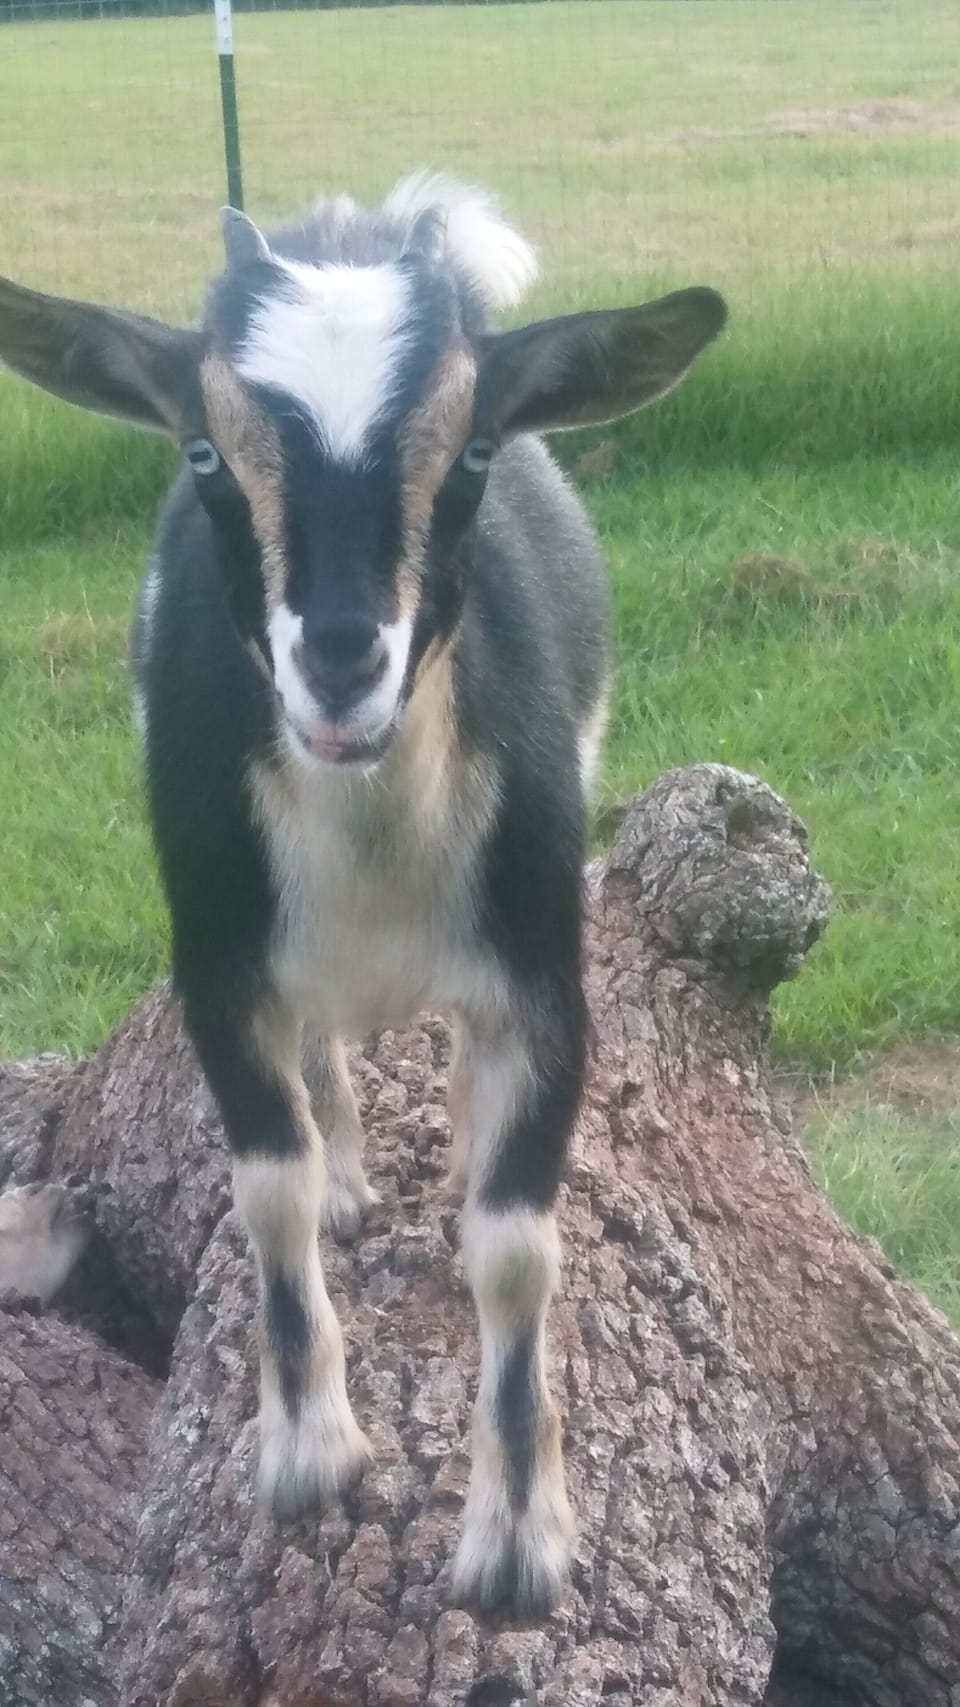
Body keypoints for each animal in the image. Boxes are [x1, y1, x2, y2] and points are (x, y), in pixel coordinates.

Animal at [0, 176, 725, 1616]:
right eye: (206, 453)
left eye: (476, 451)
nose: (342, 667)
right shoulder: (217, 963)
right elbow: (267, 1190)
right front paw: (305, 1452)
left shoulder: (542, 978)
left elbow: (518, 1243)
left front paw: (517, 1543)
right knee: (323, 1045)